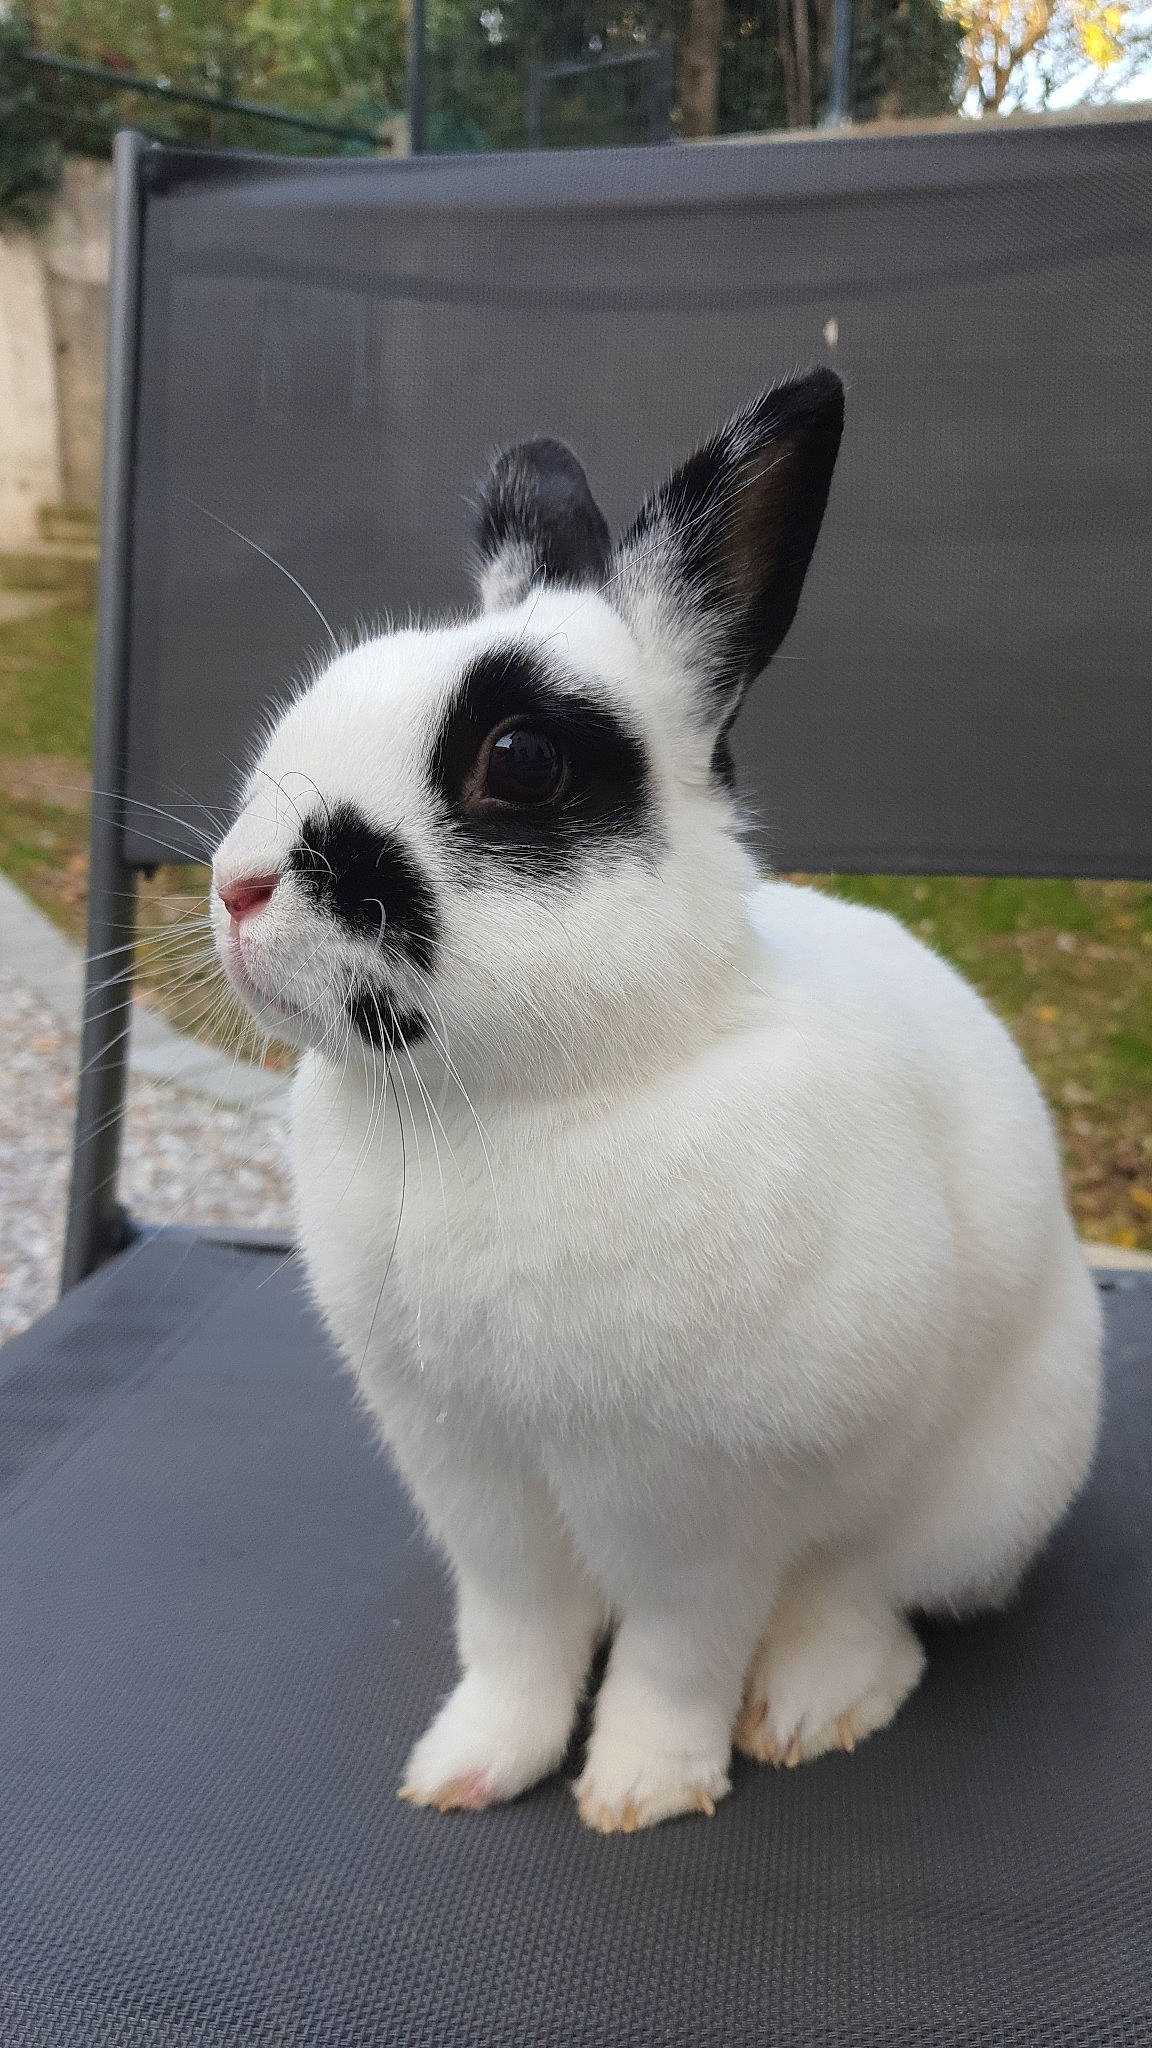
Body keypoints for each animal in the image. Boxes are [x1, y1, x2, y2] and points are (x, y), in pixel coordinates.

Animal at [211, 369, 1102, 1834]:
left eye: (520, 759)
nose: (234, 886)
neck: (498, 1109)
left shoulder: (699, 1500)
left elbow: (681, 1648)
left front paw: (640, 1788)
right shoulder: (474, 1476)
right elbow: (518, 1635)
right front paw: (468, 1770)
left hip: (976, 1491)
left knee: (867, 1601)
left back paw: (810, 1708)